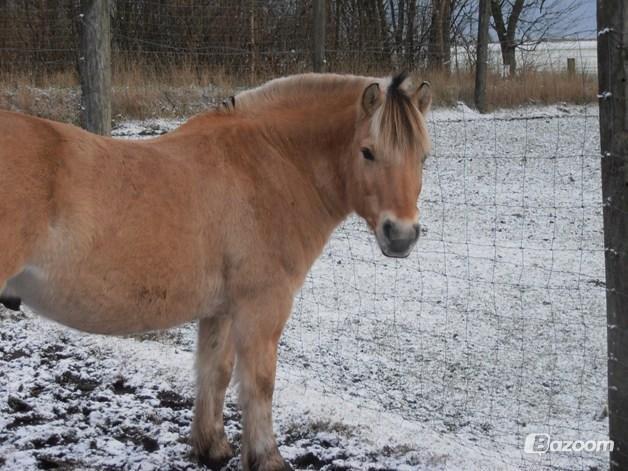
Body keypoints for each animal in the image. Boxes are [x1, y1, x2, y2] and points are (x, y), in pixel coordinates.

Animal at [0, 72, 432, 470]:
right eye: (367, 152)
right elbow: (259, 383)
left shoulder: (222, 309)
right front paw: (267, 459)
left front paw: (212, 447)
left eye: (424, 157)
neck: (269, 167)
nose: (401, 235)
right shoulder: (262, 308)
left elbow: (216, 372)